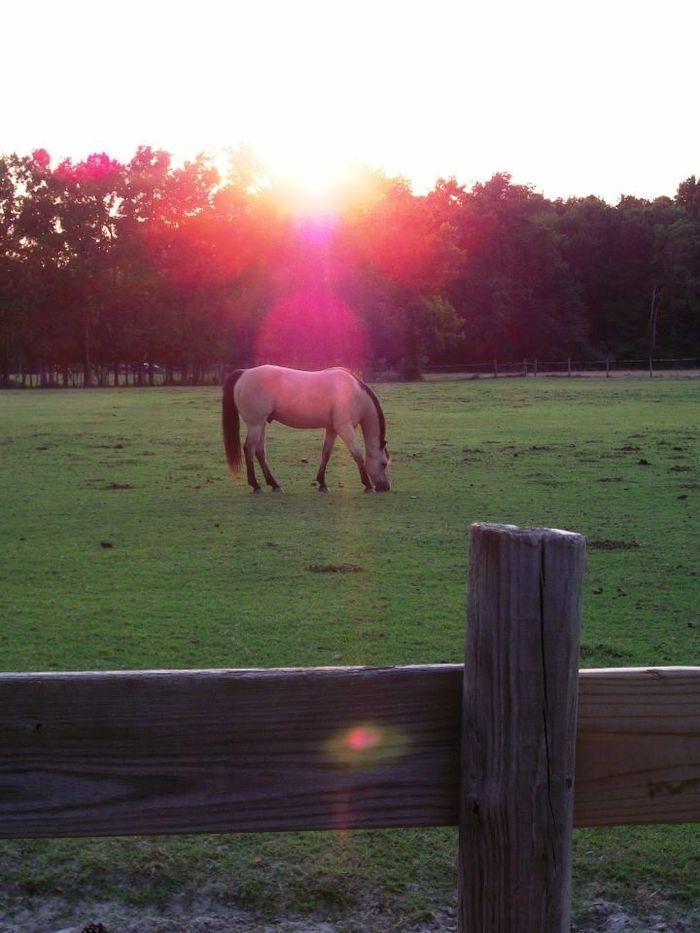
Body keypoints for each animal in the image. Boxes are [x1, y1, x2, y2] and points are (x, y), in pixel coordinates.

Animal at [223, 366, 392, 496]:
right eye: (384, 463)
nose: (385, 487)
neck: (355, 393)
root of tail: (244, 373)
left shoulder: (332, 429)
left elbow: (326, 454)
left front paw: (322, 484)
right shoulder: (344, 427)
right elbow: (357, 454)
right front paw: (368, 486)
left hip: (261, 424)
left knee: (259, 452)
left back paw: (274, 485)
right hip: (256, 425)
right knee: (249, 450)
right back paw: (256, 485)